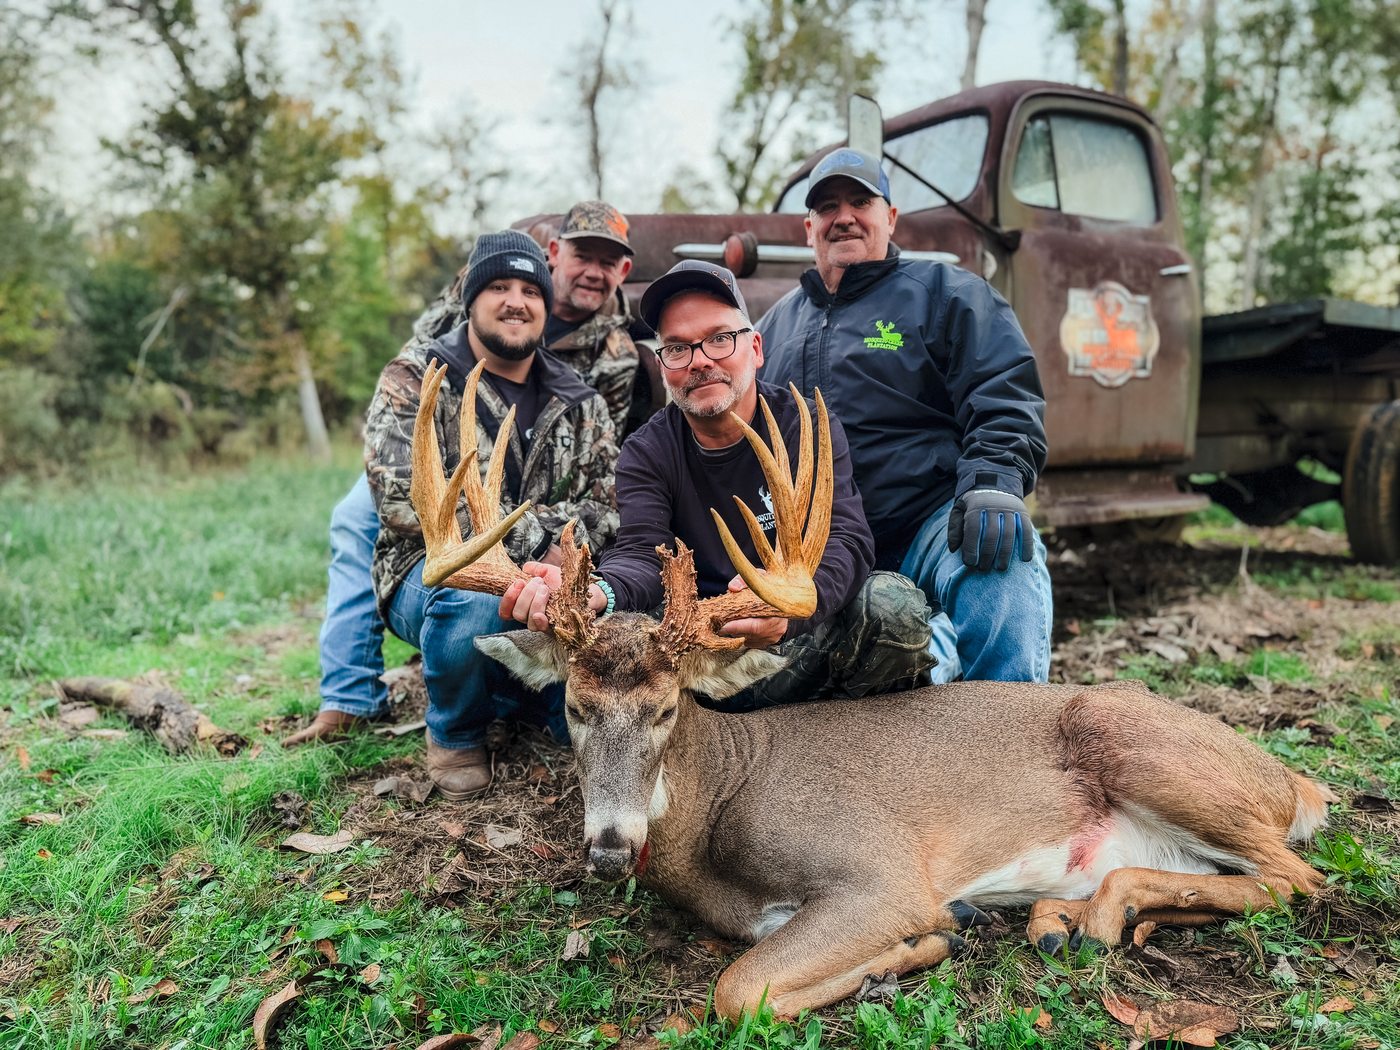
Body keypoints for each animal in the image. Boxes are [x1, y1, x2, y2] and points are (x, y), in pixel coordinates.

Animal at [409, 357, 1334, 1021]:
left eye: (668, 708)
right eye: (574, 707)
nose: (606, 848)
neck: (713, 813)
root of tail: (1295, 780)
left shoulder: (880, 871)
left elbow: (739, 991)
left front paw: (920, 946)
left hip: (1146, 750)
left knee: (1298, 878)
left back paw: (1080, 922)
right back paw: (1062, 921)